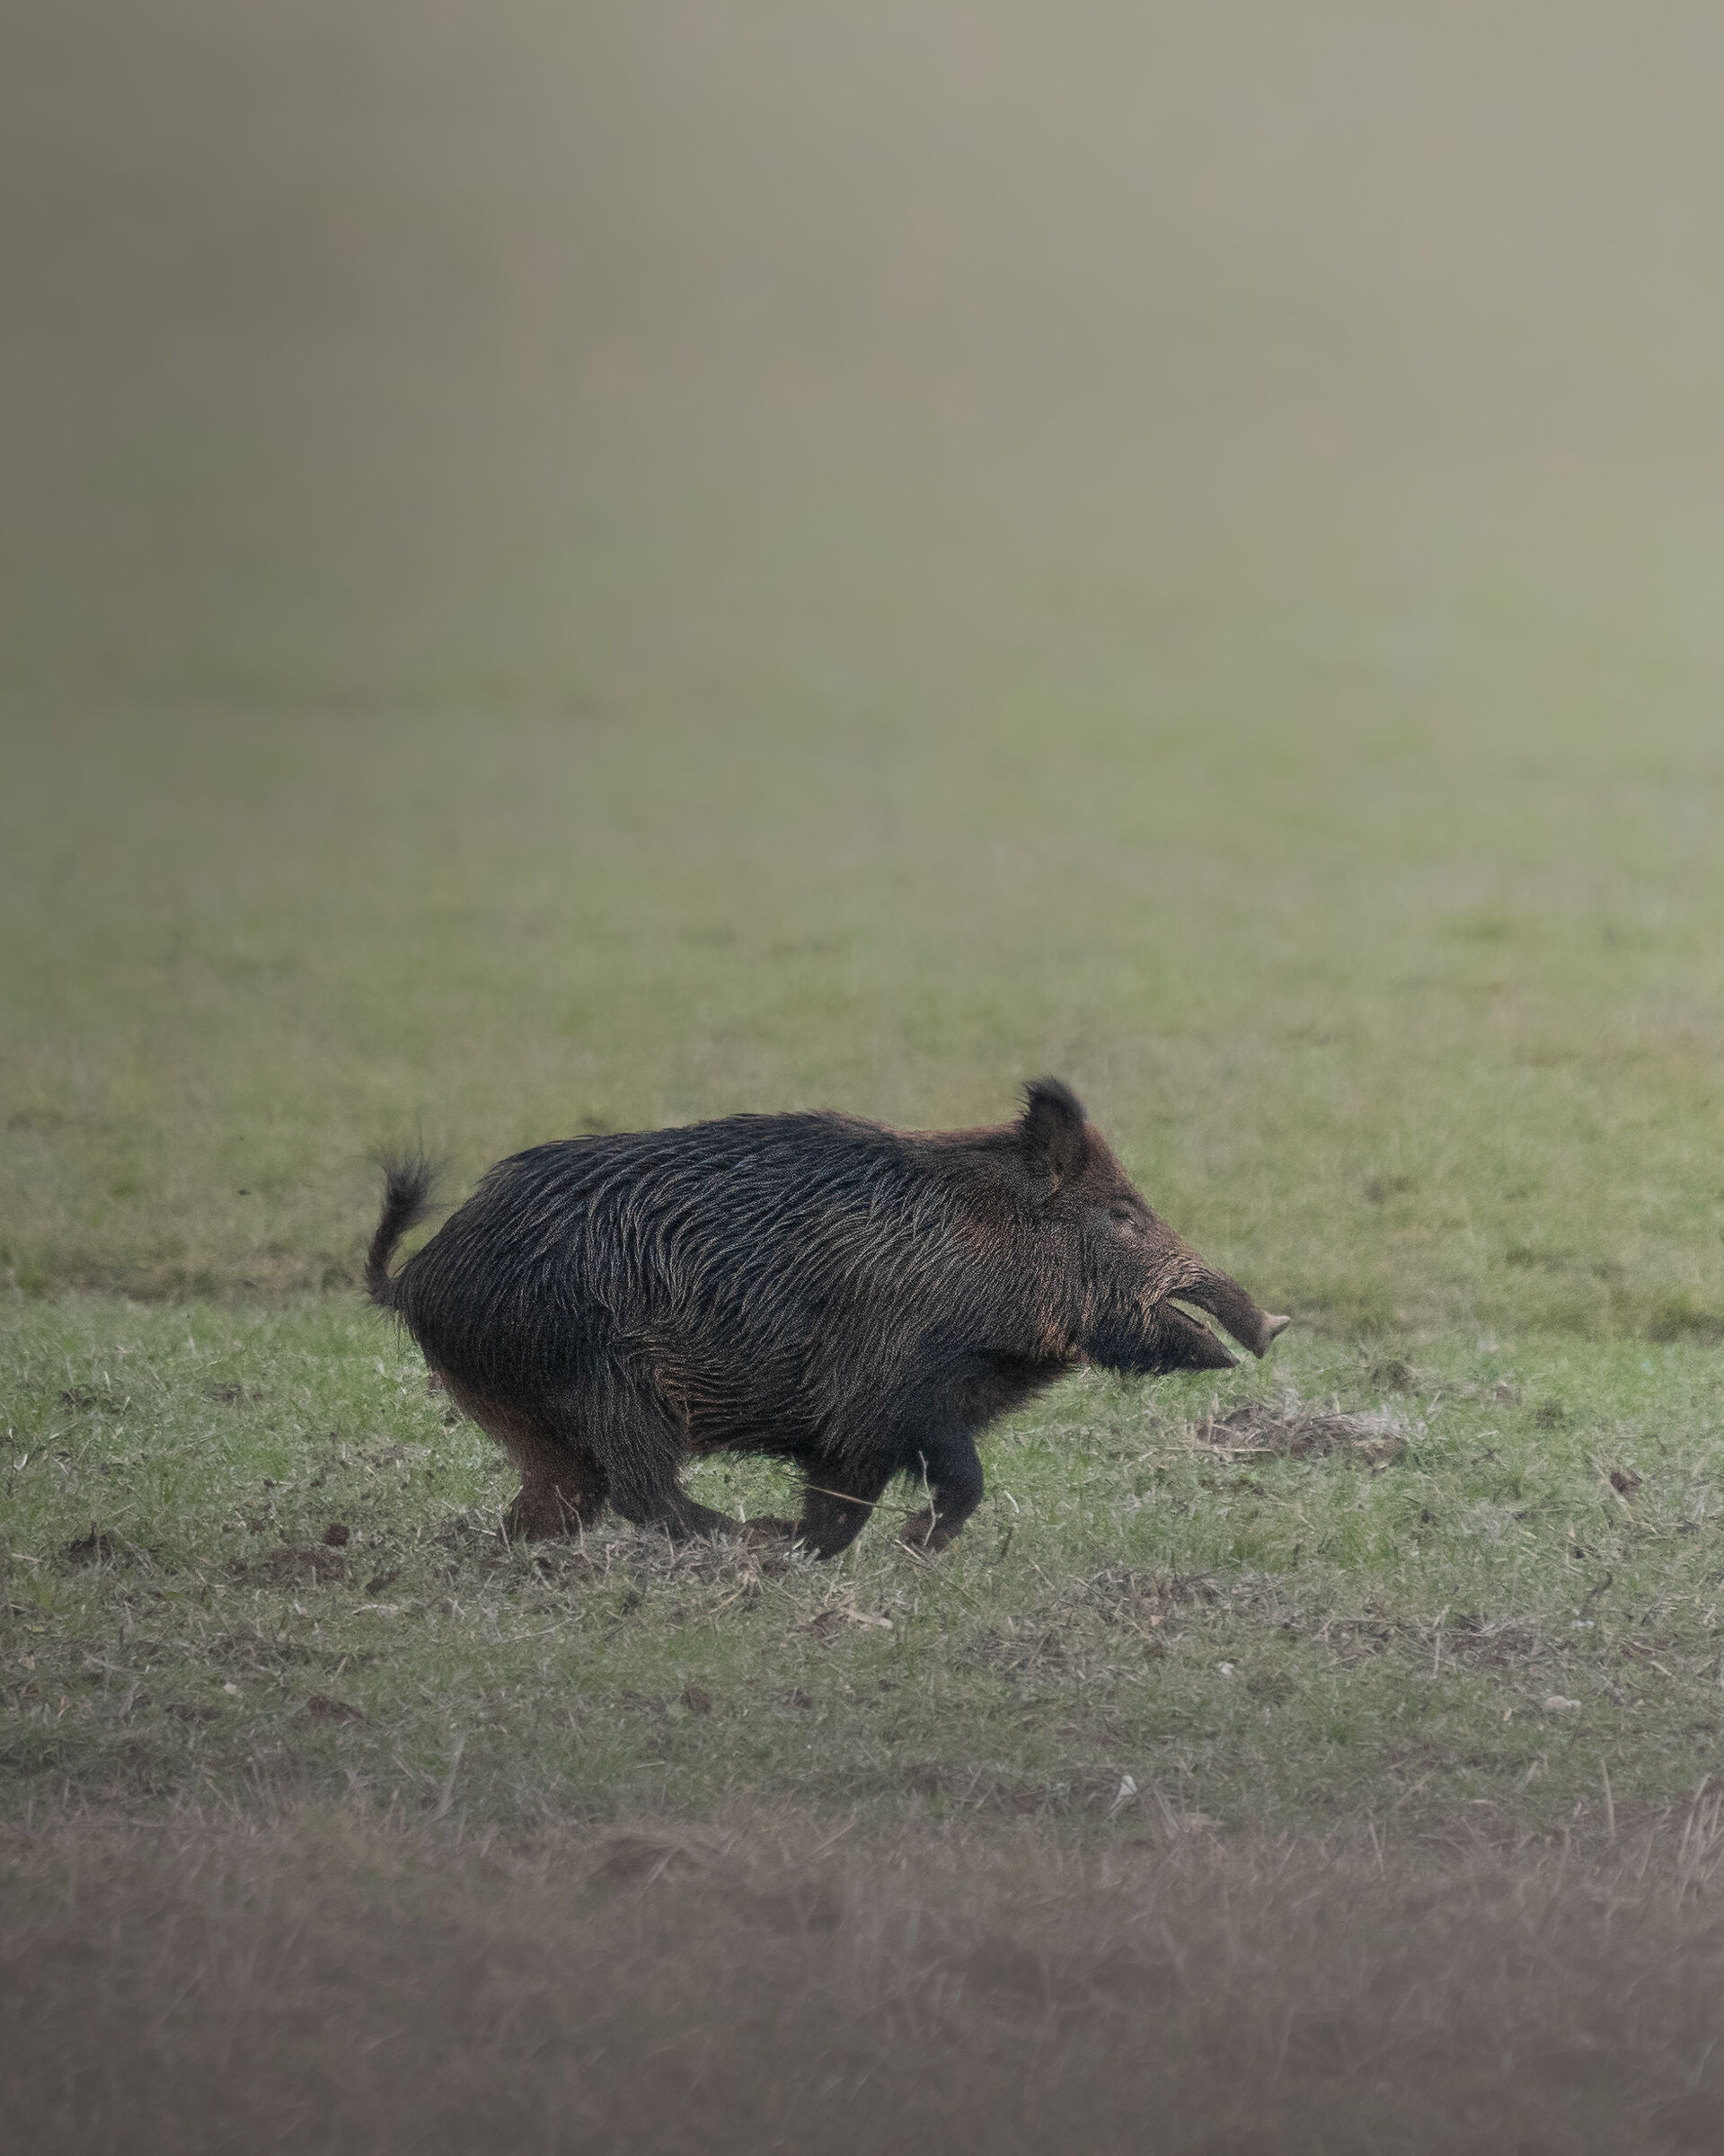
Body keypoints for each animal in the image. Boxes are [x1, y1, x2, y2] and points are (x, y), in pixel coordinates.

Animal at [364, 1080, 1289, 1557]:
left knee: (553, 1504)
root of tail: (418, 1278)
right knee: (640, 1491)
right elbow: (958, 1479)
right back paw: (742, 1539)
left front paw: (828, 1550)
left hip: (525, 1414)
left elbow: (845, 1506)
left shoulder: (856, 1432)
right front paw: (908, 1546)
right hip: (604, 1384)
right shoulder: (892, 1390)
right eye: (1121, 1216)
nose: (1273, 1326)